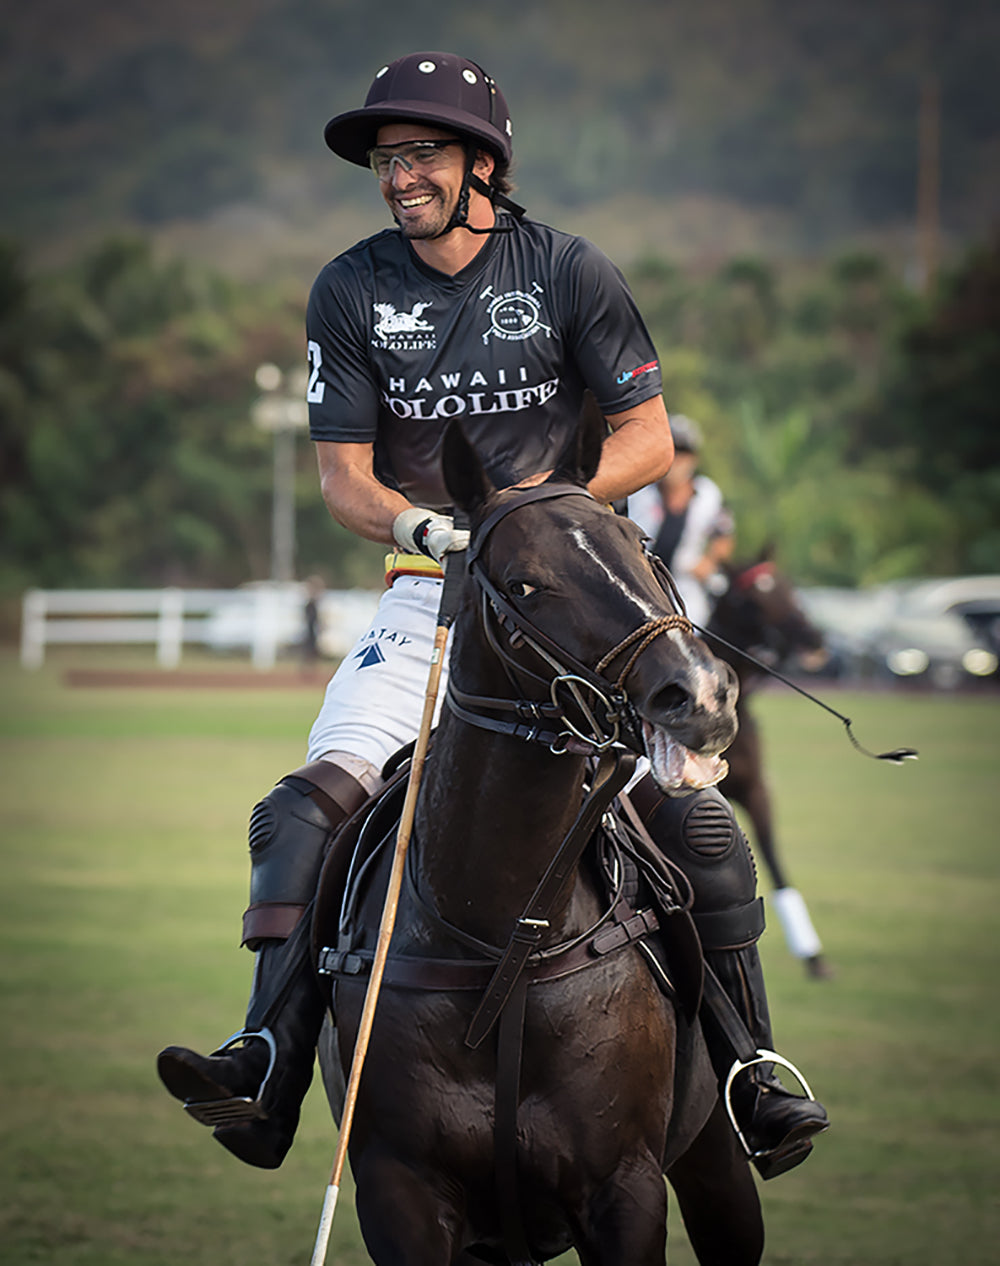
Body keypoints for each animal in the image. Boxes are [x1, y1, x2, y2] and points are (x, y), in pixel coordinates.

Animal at [317, 417, 764, 1266]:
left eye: (644, 550)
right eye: (524, 584)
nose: (702, 695)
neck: (504, 943)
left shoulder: (625, 1185)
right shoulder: (399, 1191)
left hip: (715, 1157)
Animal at [708, 554, 835, 977]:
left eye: (790, 587)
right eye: (750, 602)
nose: (813, 640)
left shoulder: (756, 790)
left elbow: (774, 861)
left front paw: (814, 957)